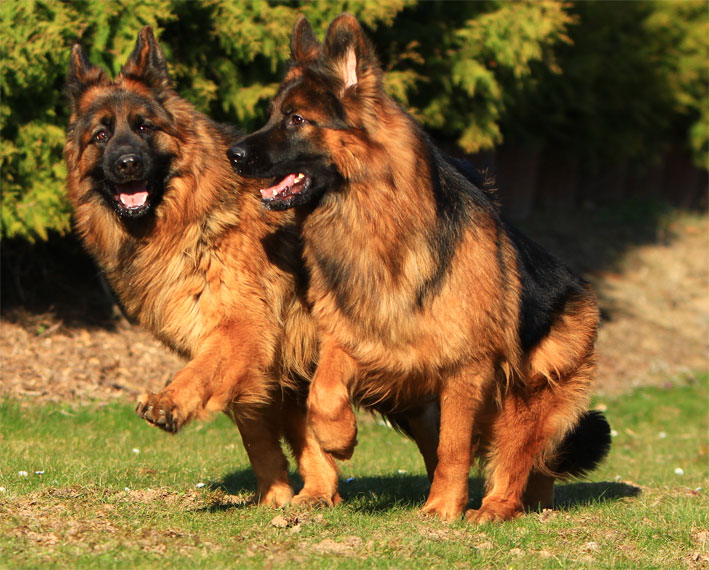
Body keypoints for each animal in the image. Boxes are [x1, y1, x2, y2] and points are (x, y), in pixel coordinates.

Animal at [228, 14, 611, 522]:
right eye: (272, 115)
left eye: (297, 119)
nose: (233, 155)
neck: (377, 220)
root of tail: (584, 291)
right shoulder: (361, 335)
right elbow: (322, 389)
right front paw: (339, 437)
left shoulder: (466, 368)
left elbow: (455, 447)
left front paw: (443, 509)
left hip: (527, 397)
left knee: (514, 459)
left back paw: (495, 507)